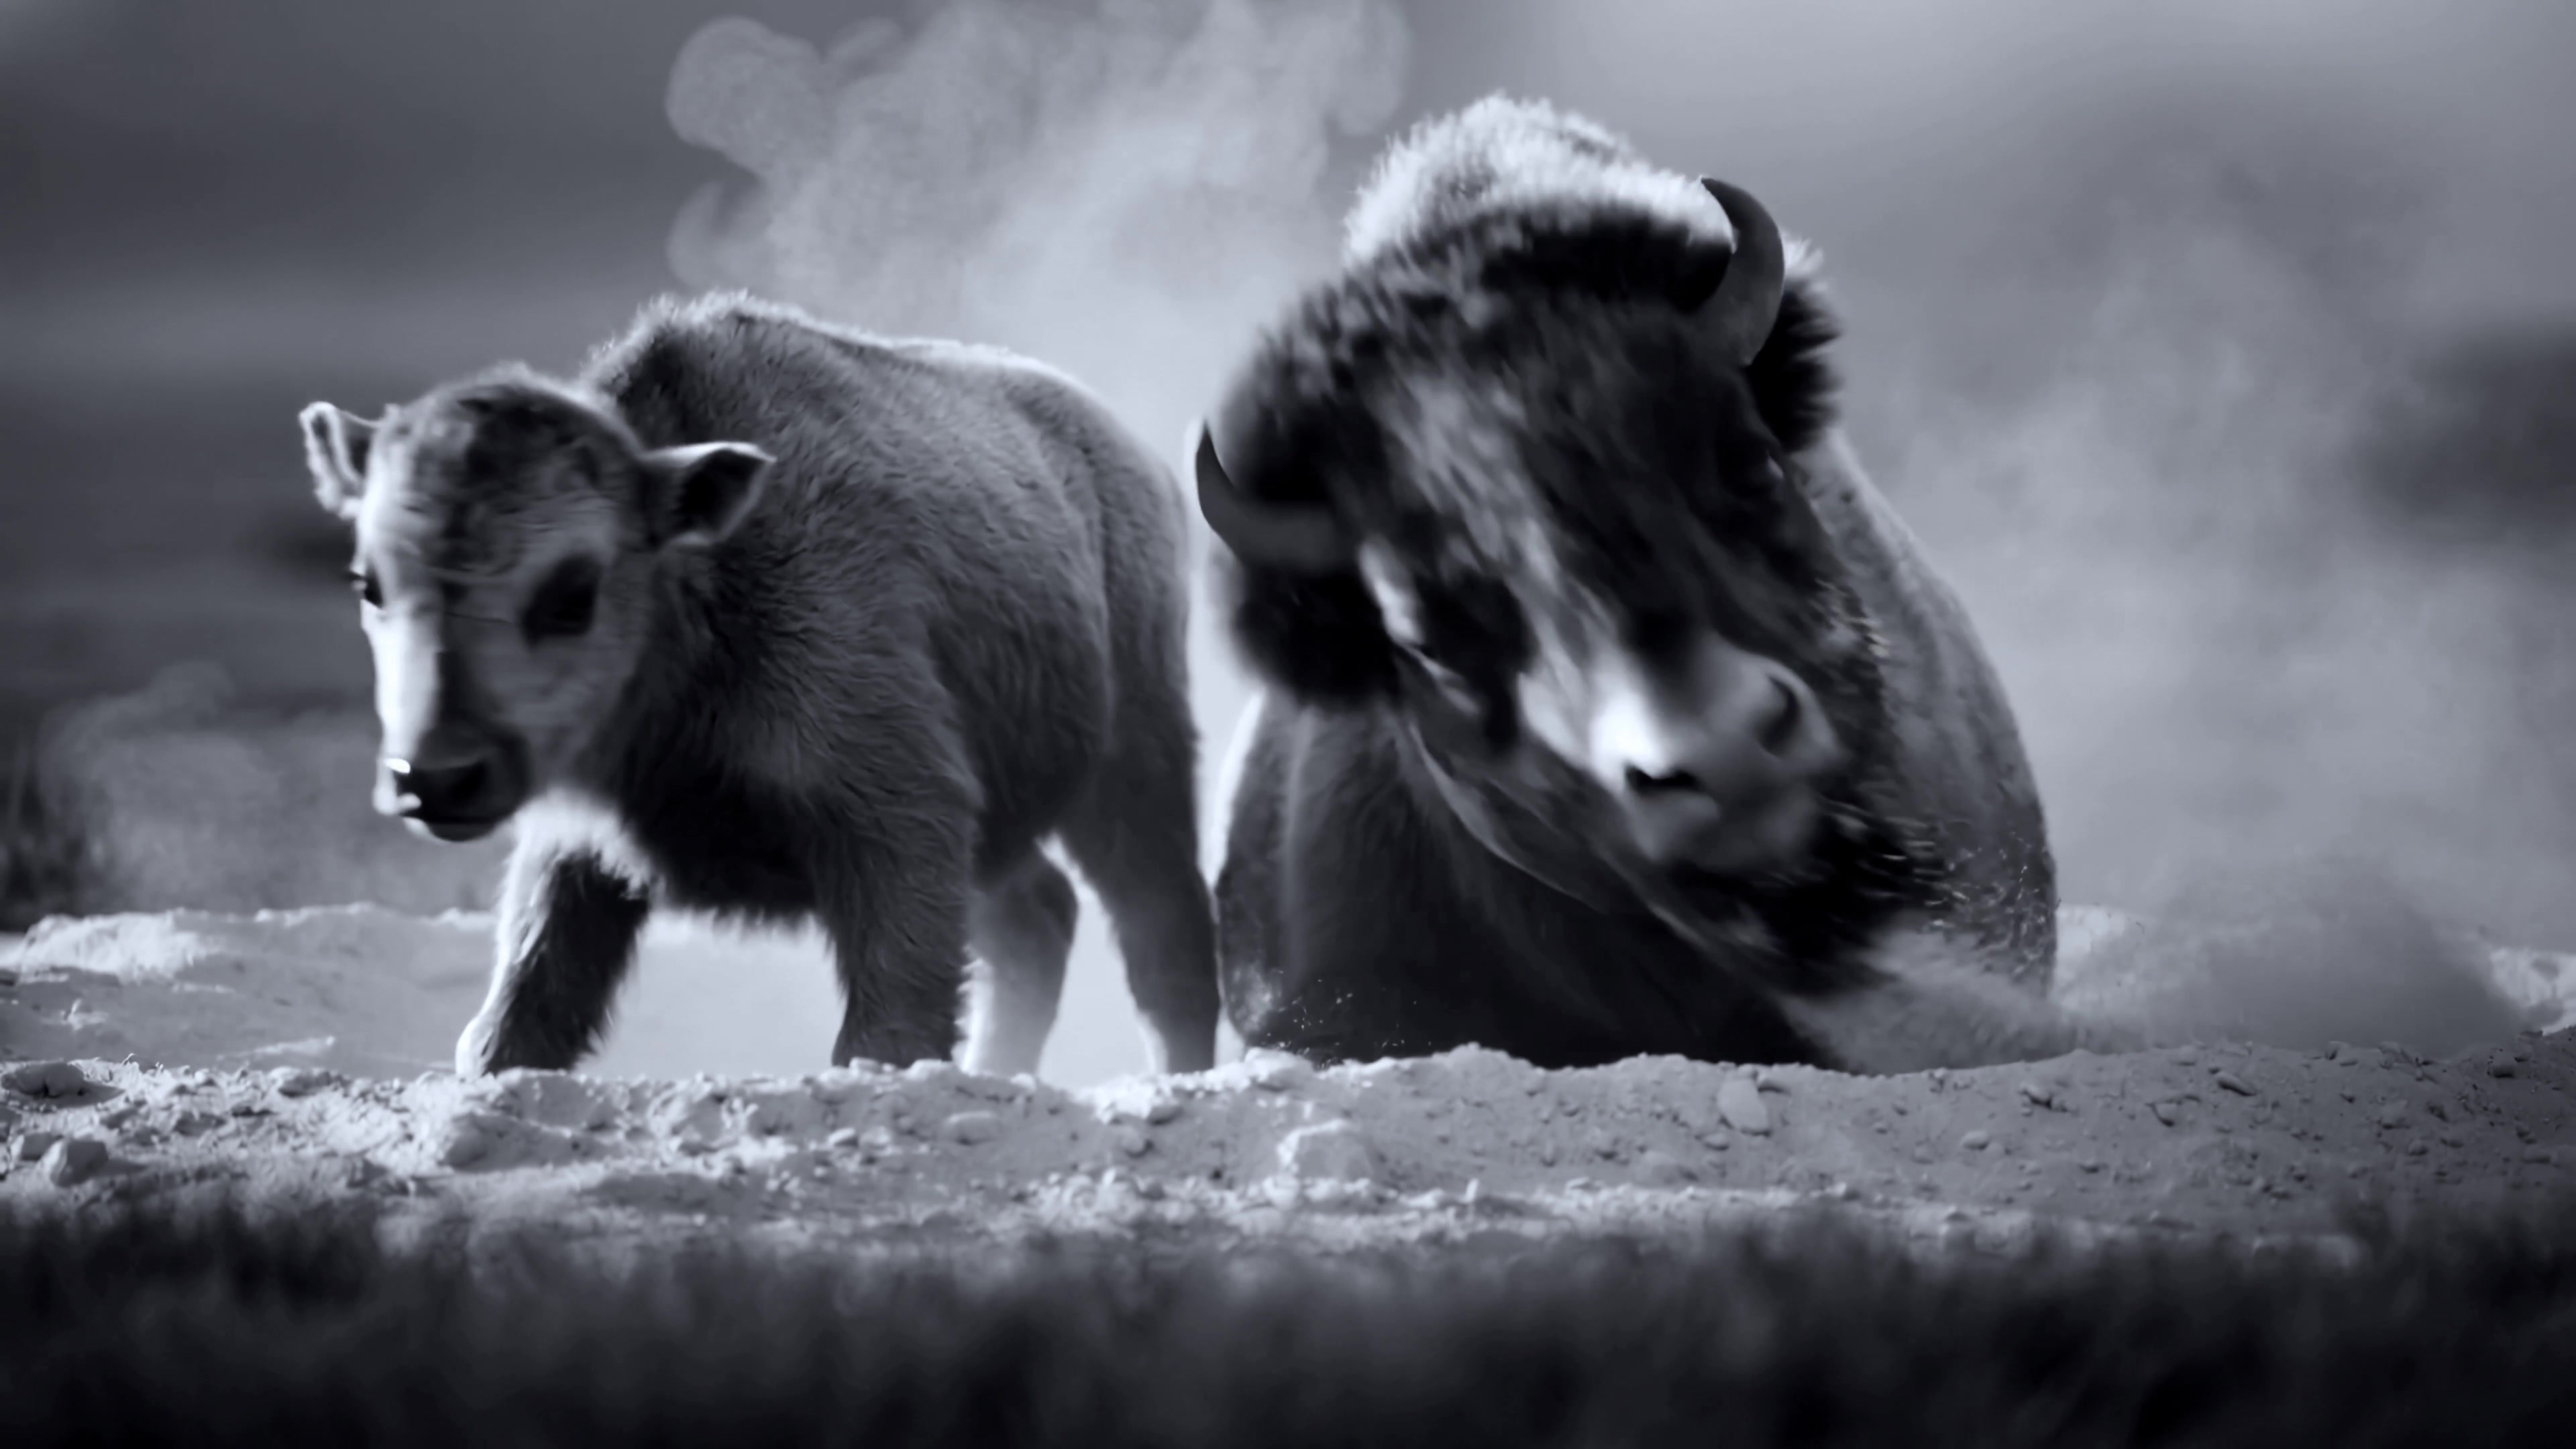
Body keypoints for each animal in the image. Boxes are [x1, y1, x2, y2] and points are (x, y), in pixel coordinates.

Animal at [296, 292, 1219, 1081]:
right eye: (369, 583)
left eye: (572, 594)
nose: (436, 777)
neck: (707, 574)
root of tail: (1139, 461)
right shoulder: (572, 849)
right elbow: (519, 1016)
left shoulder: (901, 819)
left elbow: (886, 1028)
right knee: (1038, 918)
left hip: (1134, 767)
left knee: (1162, 935)